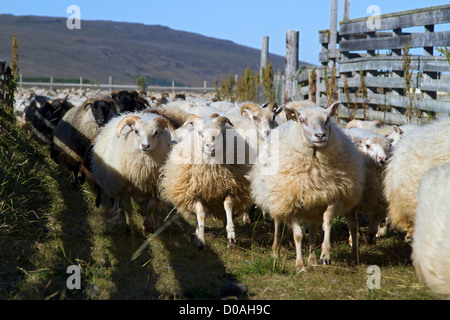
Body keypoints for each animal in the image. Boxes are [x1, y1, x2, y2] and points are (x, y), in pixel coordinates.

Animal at [157, 114, 253, 249]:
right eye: (200, 132)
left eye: (219, 133)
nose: (210, 147)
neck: (211, 169)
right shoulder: (192, 194)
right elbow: (201, 213)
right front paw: (201, 239)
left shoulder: (233, 188)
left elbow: (228, 205)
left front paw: (231, 233)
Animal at [250, 103, 366, 270]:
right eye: (302, 120)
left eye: (328, 119)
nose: (320, 135)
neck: (315, 161)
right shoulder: (292, 201)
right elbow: (298, 235)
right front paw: (300, 264)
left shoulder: (335, 196)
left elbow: (327, 220)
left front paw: (325, 255)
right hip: (278, 199)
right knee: (278, 225)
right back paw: (275, 252)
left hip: (314, 206)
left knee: (312, 231)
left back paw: (312, 260)